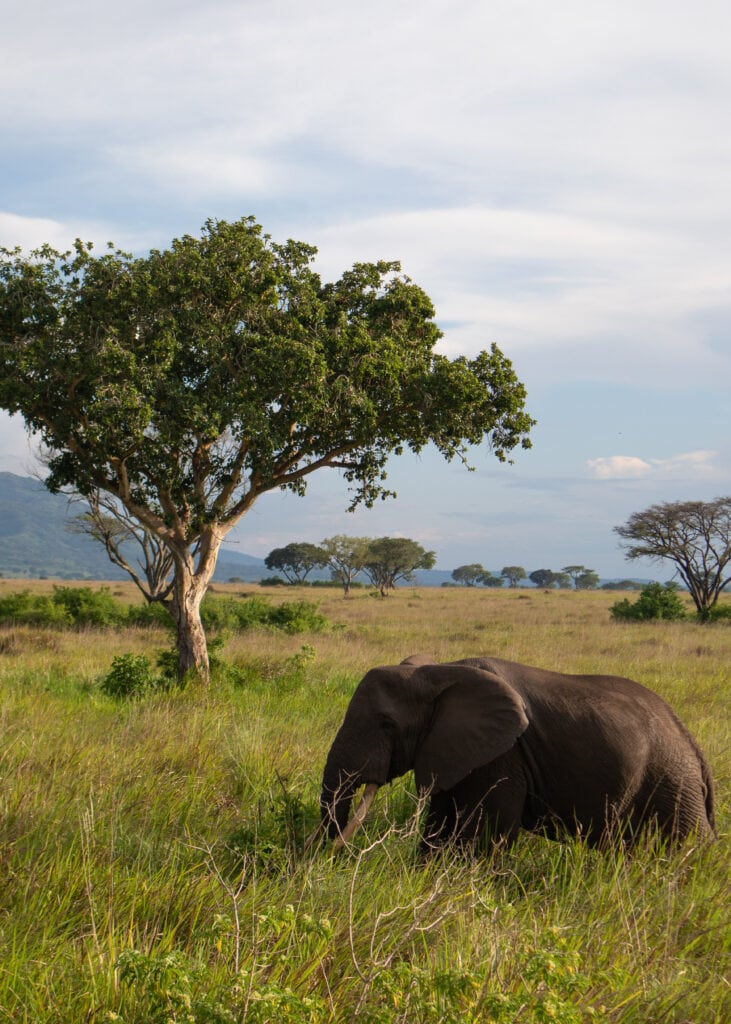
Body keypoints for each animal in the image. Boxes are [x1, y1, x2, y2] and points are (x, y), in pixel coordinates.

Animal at [320, 655, 716, 852]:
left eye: (387, 724)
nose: (330, 853)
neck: (436, 671)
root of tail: (696, 750)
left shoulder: (502, 755)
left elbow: (483, 835)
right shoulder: (456, 750)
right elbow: (439, 826)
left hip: (671, 786)